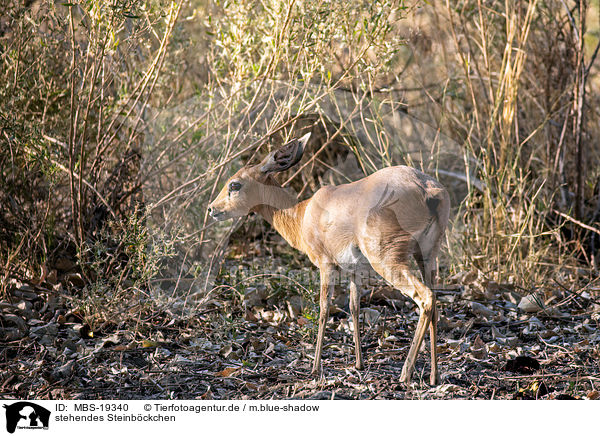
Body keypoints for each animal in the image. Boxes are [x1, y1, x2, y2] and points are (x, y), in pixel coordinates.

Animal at [209, 133, 448, 384]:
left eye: (234, 184)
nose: (212, 209)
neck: (302, 214)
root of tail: (428, 191)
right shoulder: (355, 271)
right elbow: (354, 307)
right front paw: (359, 363)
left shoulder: (326, 264)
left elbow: (324, 309)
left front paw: (315, 368)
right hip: (427, 258)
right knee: (435, 302)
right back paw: (434, 376)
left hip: (388, 261)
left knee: (425, 297)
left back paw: (405, 373)